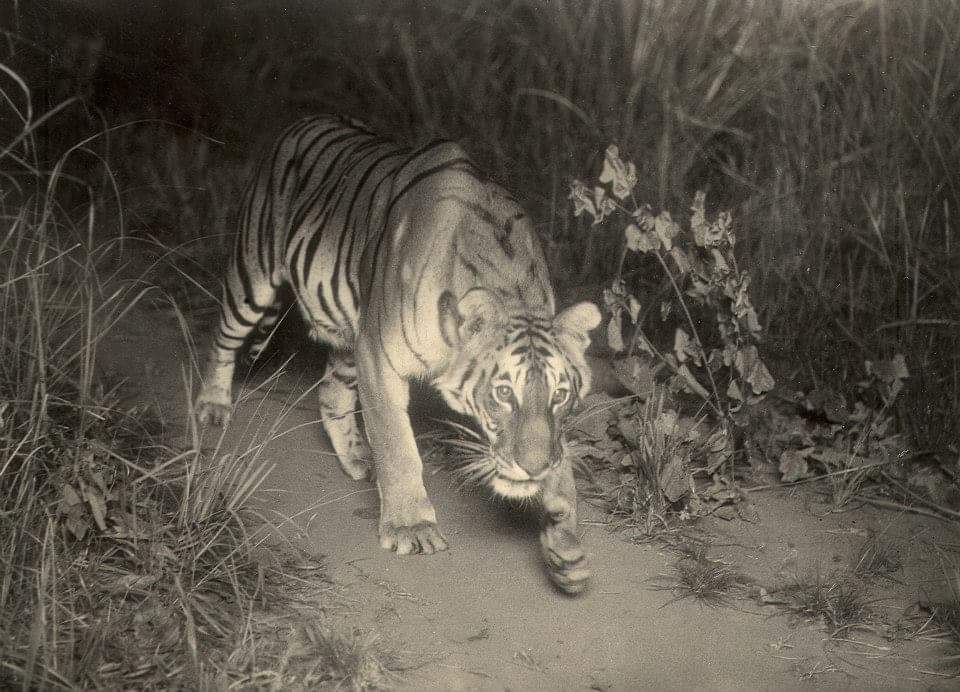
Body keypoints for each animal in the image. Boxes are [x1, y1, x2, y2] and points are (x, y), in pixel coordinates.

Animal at [196, 115, 601, 594]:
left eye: (560, 395)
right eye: (503, 393)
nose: (532, 468)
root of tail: (304, 120)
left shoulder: (367, 347)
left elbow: (562, 459)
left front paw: (565, 544)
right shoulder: (379, 356)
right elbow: (397, 445)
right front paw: (411, 527)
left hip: (349, 337)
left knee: (331, 393)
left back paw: (357, 458)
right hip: (253, 277)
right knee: (222, 339)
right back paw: (212, 407)